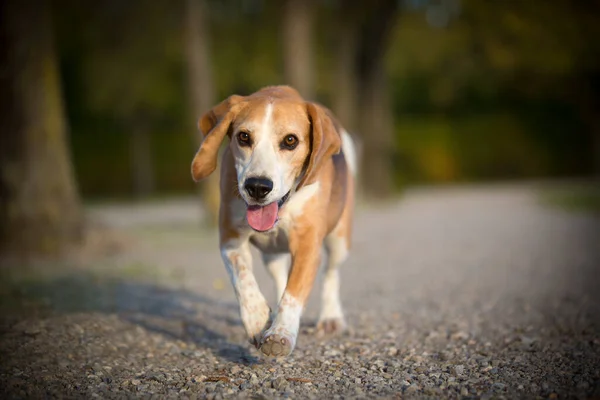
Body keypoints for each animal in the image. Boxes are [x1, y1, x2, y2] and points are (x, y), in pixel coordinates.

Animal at [191, 86, 356, 358]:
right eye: (244, 137)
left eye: (290, 141)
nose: (257, 186)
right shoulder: (230, 238)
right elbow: (243, 278)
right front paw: (258, 320)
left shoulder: (307, 246)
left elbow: (293, 293)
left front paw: (280, 334)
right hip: (272, 254)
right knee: (279, 277)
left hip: (338, 241)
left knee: (331, 274)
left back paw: (331, 318)